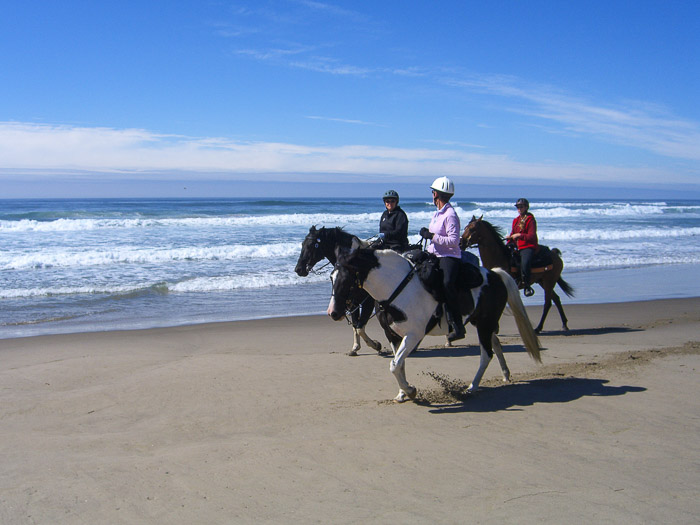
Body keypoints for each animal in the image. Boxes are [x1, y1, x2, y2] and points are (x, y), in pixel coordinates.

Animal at [294, 225, 386, 356]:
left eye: (312, 245)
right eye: (302, 244)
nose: (298, 269)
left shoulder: (368, 302)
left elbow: (360, 328)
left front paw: (376, 345)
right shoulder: (353, 303)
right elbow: (355, 325)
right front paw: (355, 347)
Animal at [328, 248, 540, 404]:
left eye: (346, 279)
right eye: (331, 277)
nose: (333, 313)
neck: (397, 288)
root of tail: (495, 275)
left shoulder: (413, 335)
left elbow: (394, 365)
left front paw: (410, 390)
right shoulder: (393, 335)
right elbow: (399, 364)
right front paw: (402, 393)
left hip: (484, 325)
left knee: (486, 354)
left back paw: (472, 387)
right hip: (481, 323)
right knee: (495, 344)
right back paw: (505, 374)